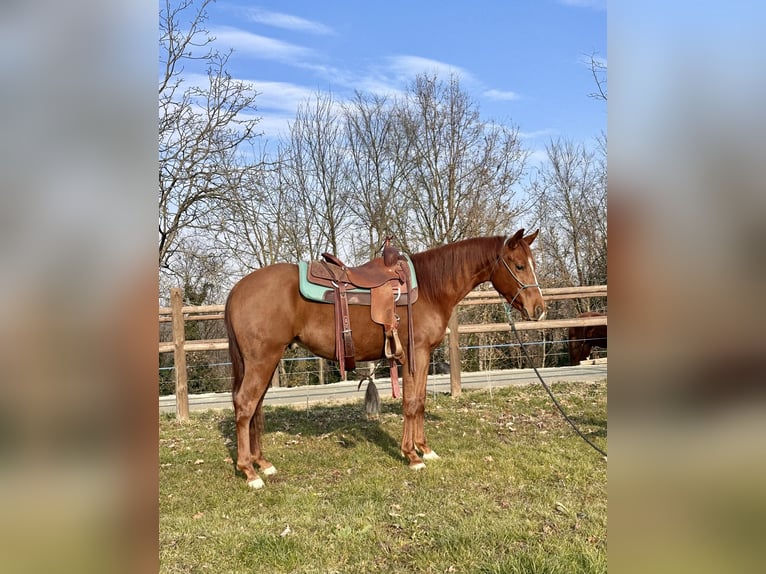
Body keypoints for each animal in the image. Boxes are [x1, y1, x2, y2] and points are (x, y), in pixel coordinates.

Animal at [224, 229, 546, 489]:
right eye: (519, 265)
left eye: (533, 264)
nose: (539, 309)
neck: (430, 288)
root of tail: (237, 289)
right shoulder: (415, 354)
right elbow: (411, 404)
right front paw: (412, 455)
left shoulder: (422, 357)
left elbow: (420, 402)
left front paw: (425, 449)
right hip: (262, 360)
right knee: (246, 405)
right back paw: (249, 472)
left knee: (256, 407)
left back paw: (263, 463)